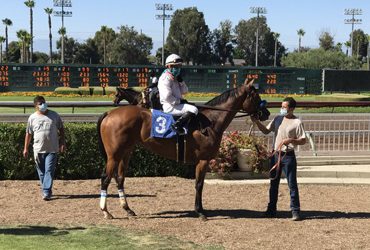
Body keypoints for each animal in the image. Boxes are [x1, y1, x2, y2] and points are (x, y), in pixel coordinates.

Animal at [97, 79, 268, 220]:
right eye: (255, 96)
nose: (265, 113)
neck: (211, 121)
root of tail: (109, 113)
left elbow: (199, 185)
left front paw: (201, 209)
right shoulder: (203, 160)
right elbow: (199, 185)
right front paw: (200, 212)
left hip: (126, 152)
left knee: (120, 178)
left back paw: (128, 209)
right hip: (114, 155)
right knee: (105, 178)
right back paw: (106, 211)